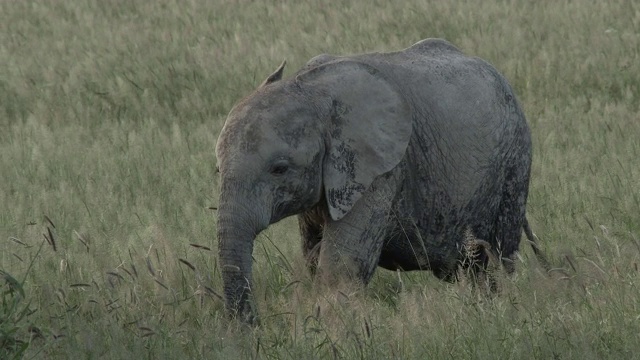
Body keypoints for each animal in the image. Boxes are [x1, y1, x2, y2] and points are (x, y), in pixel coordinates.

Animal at [216, 38, 544, 322]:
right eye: (217, 169)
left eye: (279, 169)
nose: (253, 327)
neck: (309, 89)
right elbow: (312, 257)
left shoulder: (378, 171)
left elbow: (340, 268)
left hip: (514, 162)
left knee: (494, 263)